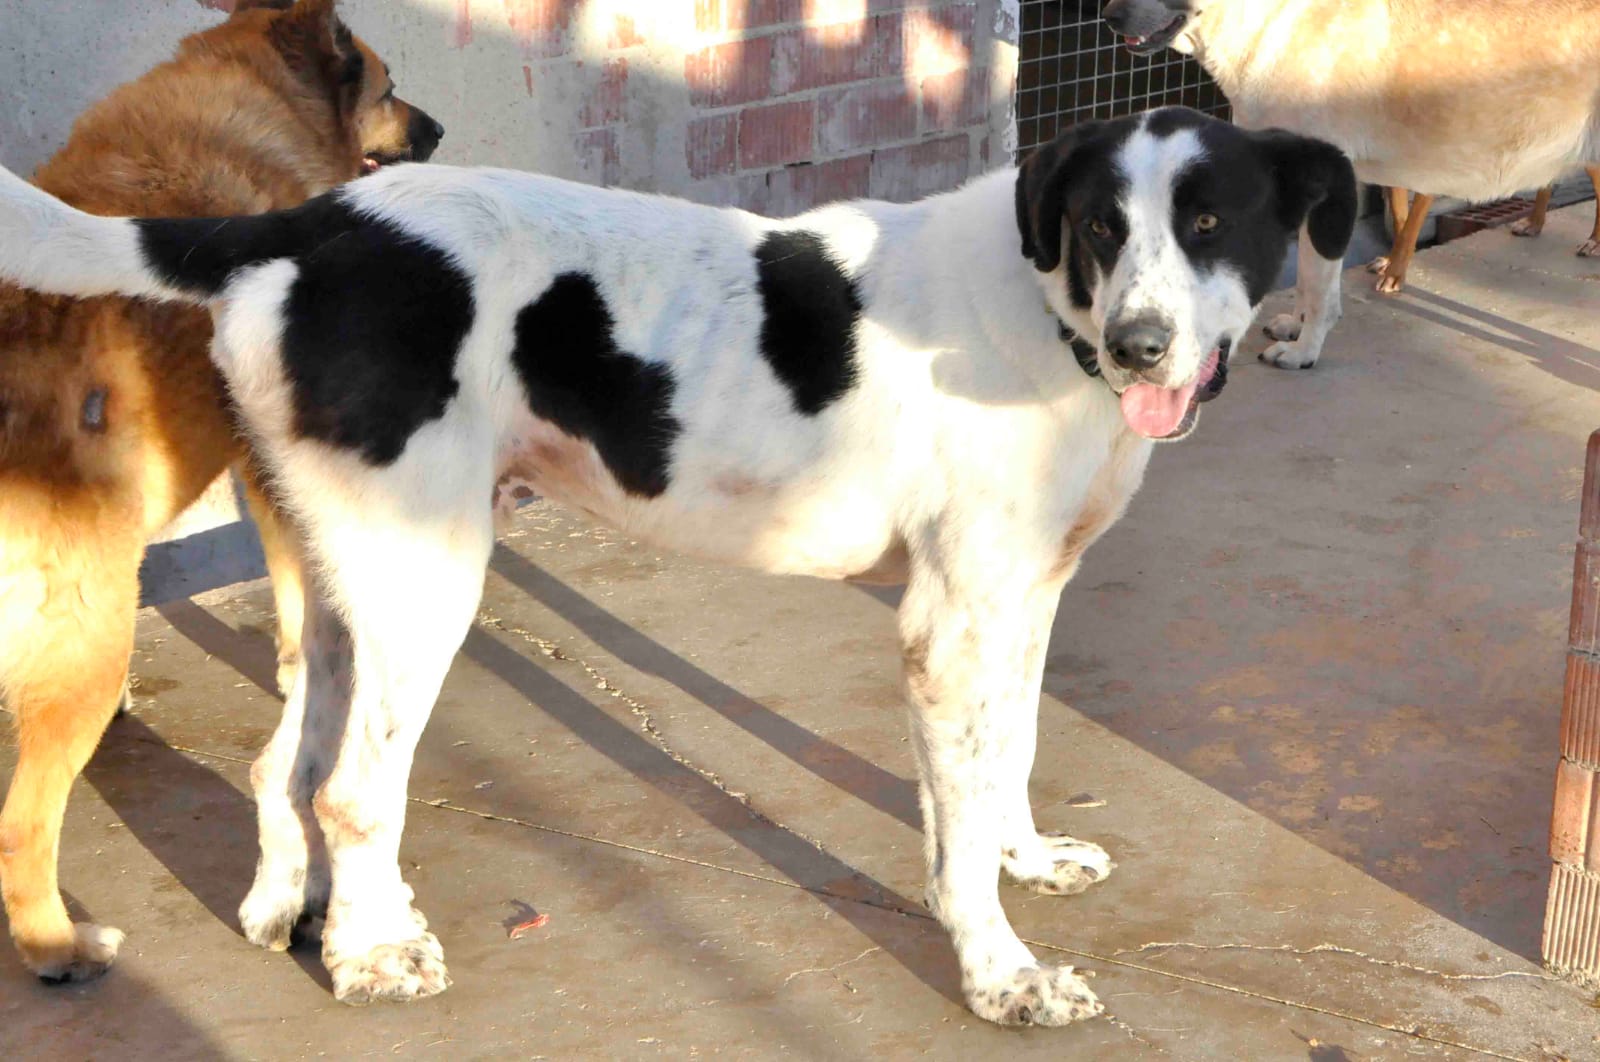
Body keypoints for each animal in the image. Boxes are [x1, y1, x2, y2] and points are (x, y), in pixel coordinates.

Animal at [0, 0, 440, 983]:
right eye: (388, 86)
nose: (435, 132)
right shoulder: (274, 472)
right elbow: (302, 602)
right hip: (93, 631)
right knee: (22, 825)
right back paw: (60, 946)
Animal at [0, 106, 1354, 1023]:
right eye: (1099, 227)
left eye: (1211, 225)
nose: (1139, 348)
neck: (1045, 306)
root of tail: (307, 221)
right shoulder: (952, 620)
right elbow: (959, 828)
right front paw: (999, 974)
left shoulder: (1019, 598)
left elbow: (1001, 761)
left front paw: (1025, 860)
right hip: (429, 578)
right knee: (351, 788)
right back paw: (376, 957)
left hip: (344, 581)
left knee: (285, 759)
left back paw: (307, 915)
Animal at [1103, 0, 1600, 368]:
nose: (1108, 16)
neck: (1267, 19)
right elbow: (1307, 279)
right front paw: (1297, 326)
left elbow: (1322, 289)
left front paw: (1305, 351)